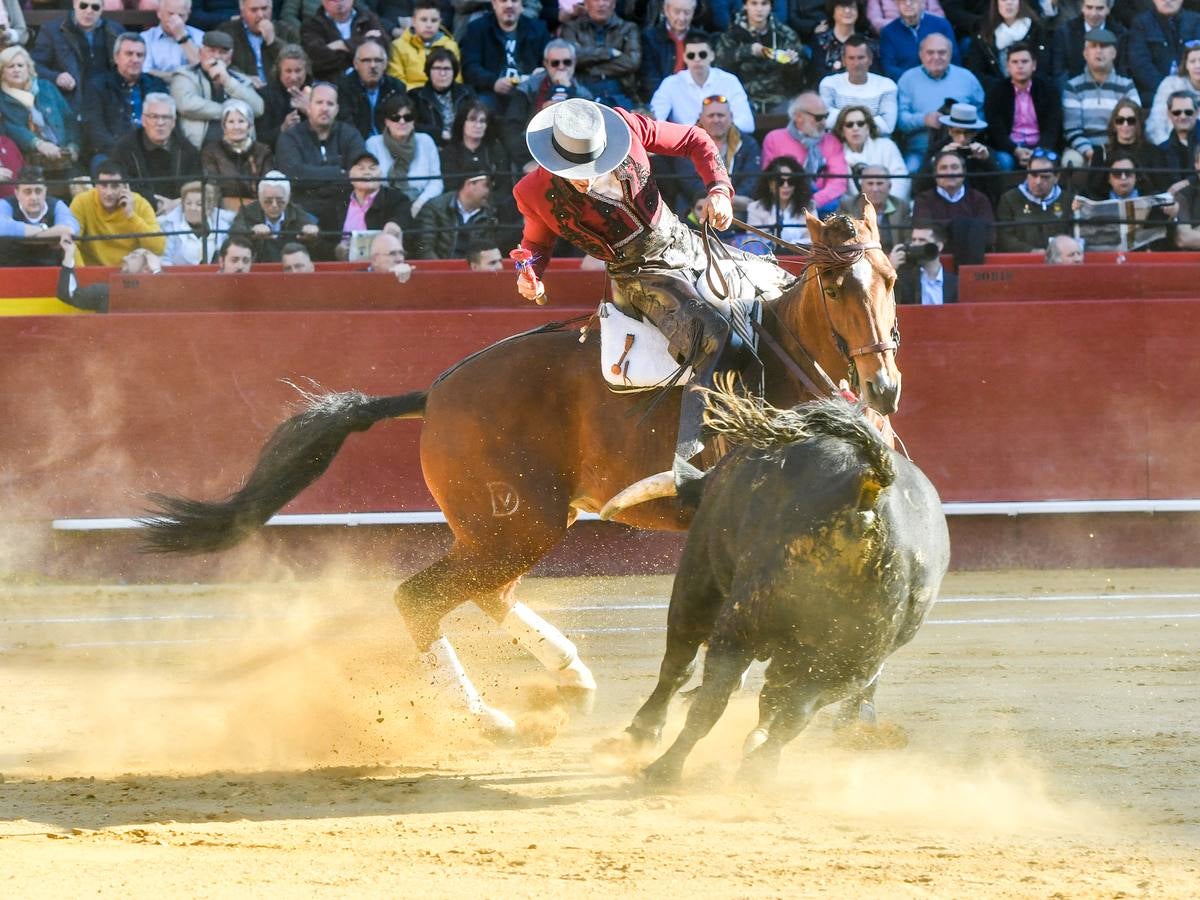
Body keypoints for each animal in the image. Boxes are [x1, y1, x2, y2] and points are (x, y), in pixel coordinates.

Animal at [142, 204, 902, 739]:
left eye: (891, 279)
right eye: (835, 284)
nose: (886, 387)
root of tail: (435, 393)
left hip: (508, 528)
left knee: (487, 594)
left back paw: (571, 680)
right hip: (517, 525)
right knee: (424, 598)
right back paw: (489, 719)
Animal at [628, 398, 945, 787]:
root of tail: (870, 489)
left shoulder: (699, 575)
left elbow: (679, 662)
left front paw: (642, 731)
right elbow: (777, 702)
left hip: (741, 620)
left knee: (712, 696)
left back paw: (664, 768)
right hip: (852, 662)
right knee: (796, 712)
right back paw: (758, 768)